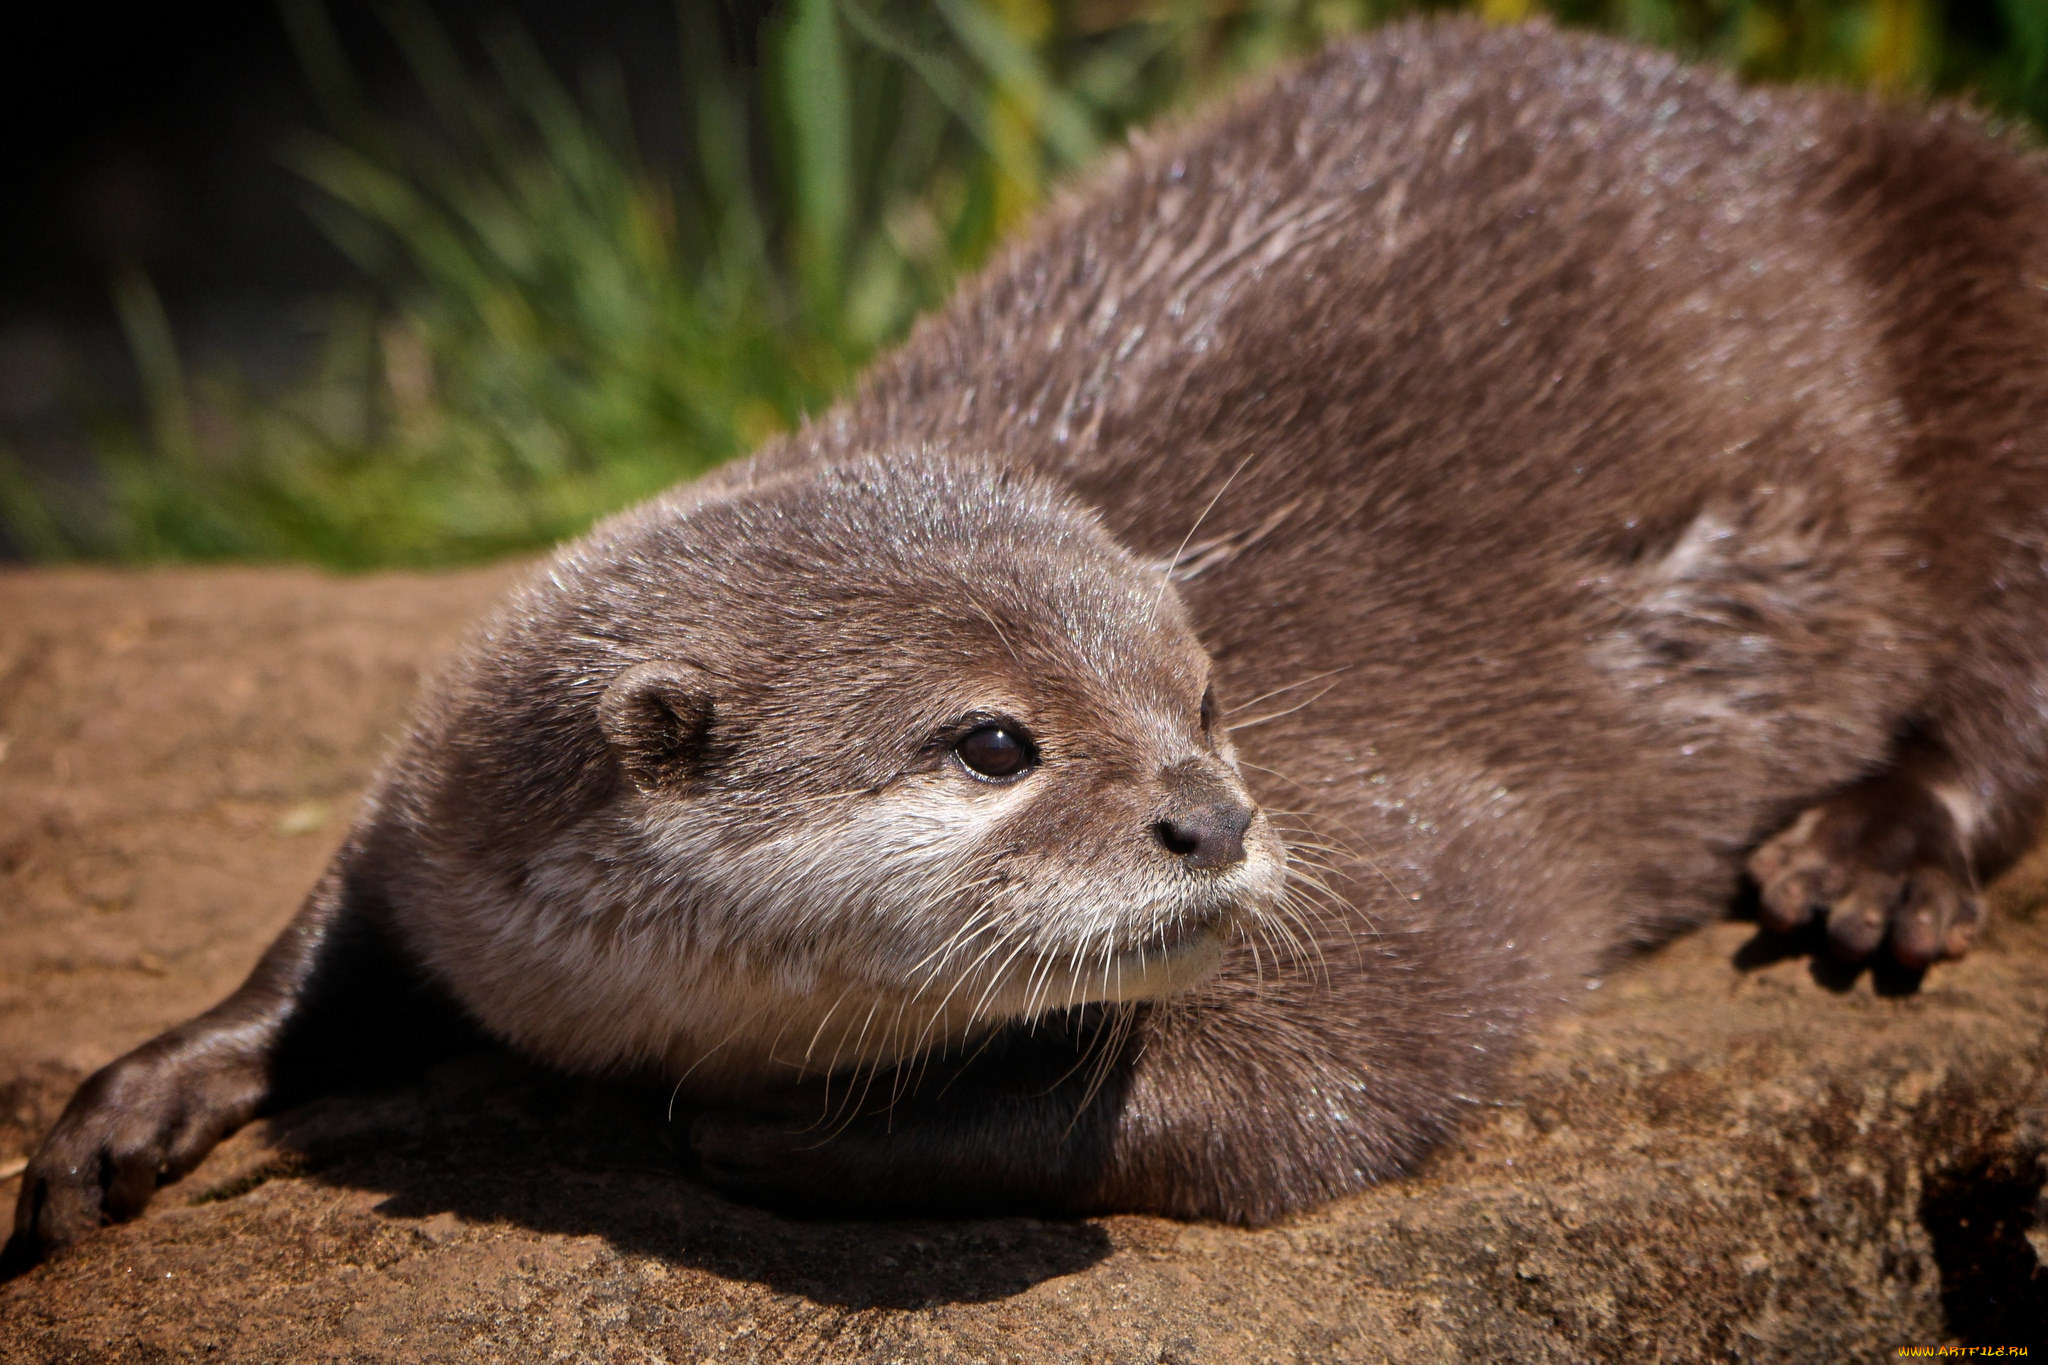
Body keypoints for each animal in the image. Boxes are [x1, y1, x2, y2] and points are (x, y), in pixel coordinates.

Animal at [14, 19, 2048, 1254]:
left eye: (1209, 700)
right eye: (994, 741)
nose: (1214, 821)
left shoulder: (1417, 851)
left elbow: (1302, 1085)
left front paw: (777, 1133)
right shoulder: (447, 812)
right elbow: (337, 929)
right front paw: (139, 1096)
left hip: (1986, 272)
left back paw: (1869, 861)